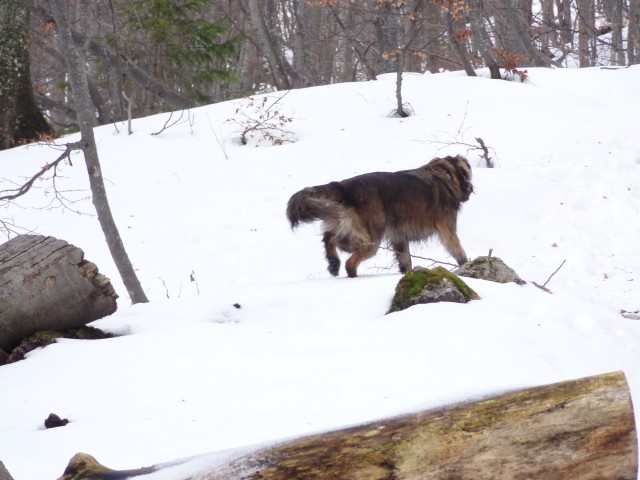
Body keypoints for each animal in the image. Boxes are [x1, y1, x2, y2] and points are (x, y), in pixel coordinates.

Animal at [288, 156, 472, 278]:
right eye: (468, 175)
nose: (470, 189)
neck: (444, 173)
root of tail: (343, 186)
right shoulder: (447, 231)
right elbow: (458, 251)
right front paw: (466, 266)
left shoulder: (399, 237)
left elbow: (405, 260)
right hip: (371, 237)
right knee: (350, 259)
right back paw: (350, 274)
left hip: (342, 221)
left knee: (329, 239)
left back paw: (334, 264)